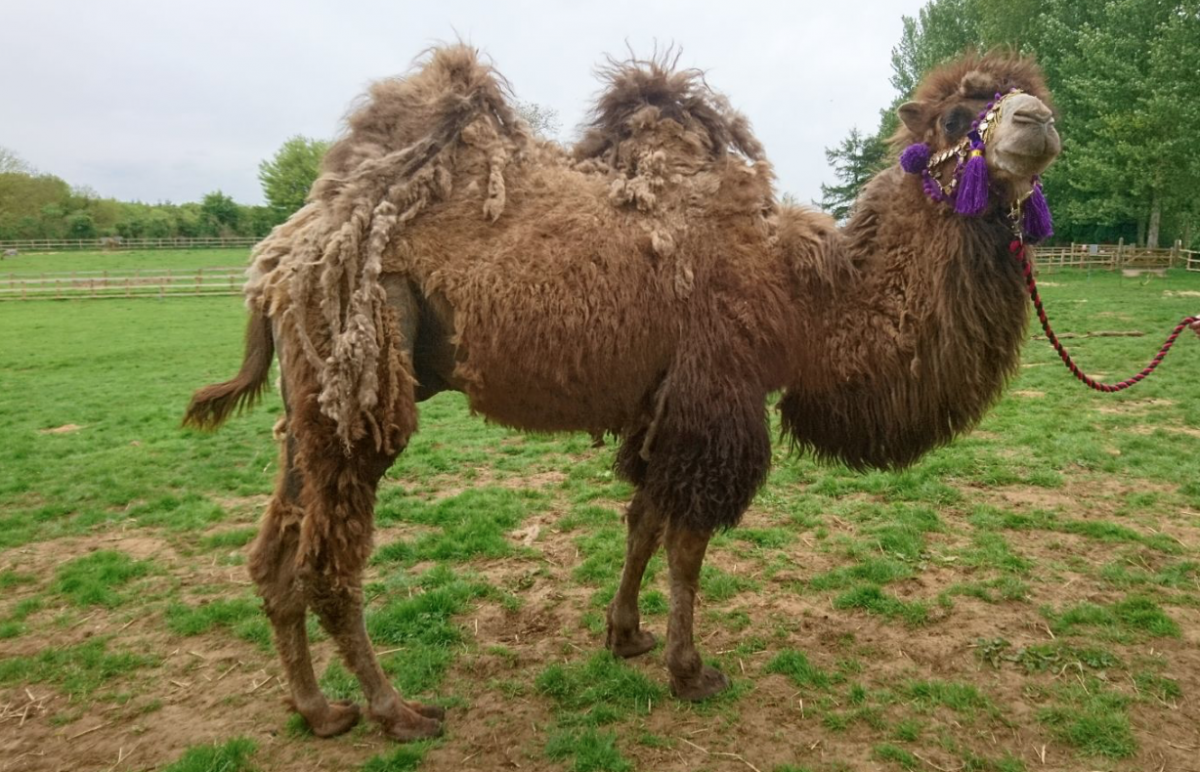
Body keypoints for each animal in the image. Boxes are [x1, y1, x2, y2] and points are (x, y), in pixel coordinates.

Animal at [184, 43, 1060, 744]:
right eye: (956, 116)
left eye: (1025, 94)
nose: (1040, 122)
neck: (805, 302)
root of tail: (280, 259)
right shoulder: (718, 394)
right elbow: (688, 544)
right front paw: (691, 670)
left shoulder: (659, 402)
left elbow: (643, 520)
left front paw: (625, 636)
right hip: (366, 381)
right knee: (330, 558)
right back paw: (395, 712)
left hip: (311, 406)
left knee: (275, 550)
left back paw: (317, 709)